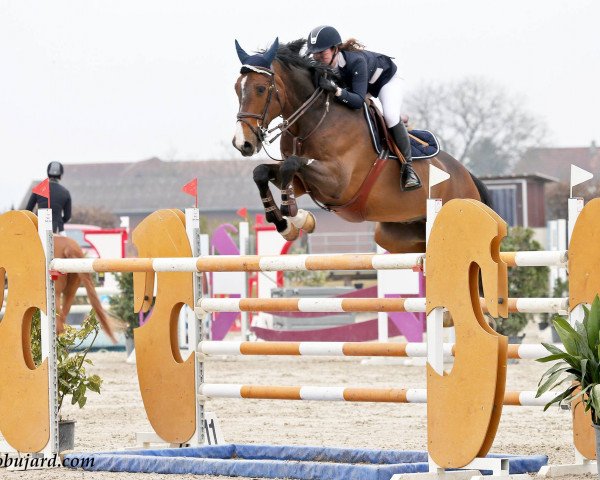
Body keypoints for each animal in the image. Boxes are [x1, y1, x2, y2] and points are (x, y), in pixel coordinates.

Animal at [232, 38, 490, 255]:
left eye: (261, 89)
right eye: (236, 88)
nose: (242, 143)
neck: (312, 122)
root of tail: (466, 175)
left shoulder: (338, 182)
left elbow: (291, 165)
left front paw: (297, 217)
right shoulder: (301, 183)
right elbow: (262, 172)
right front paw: (288, 225)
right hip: (396, 233)